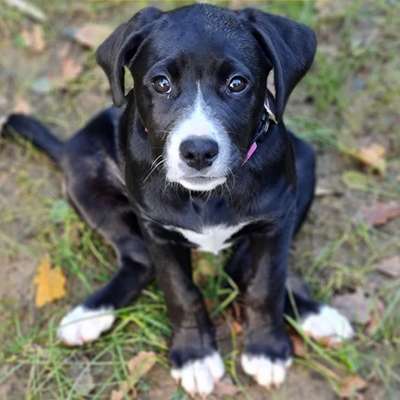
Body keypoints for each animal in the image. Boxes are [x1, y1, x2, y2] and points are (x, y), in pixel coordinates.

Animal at [3, 3, 354, 396]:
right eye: (161, 83)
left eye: (237, 84)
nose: (198, 151)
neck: (206, 195)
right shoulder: (157, 231)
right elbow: (180, 291)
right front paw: (195, 356)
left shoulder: (275, 221)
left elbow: (266, 284)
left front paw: (266, 349)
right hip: (84, 172)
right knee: (139, 260)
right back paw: (90, 314)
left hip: (305, 161)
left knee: (238, 267)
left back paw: (317, 316)